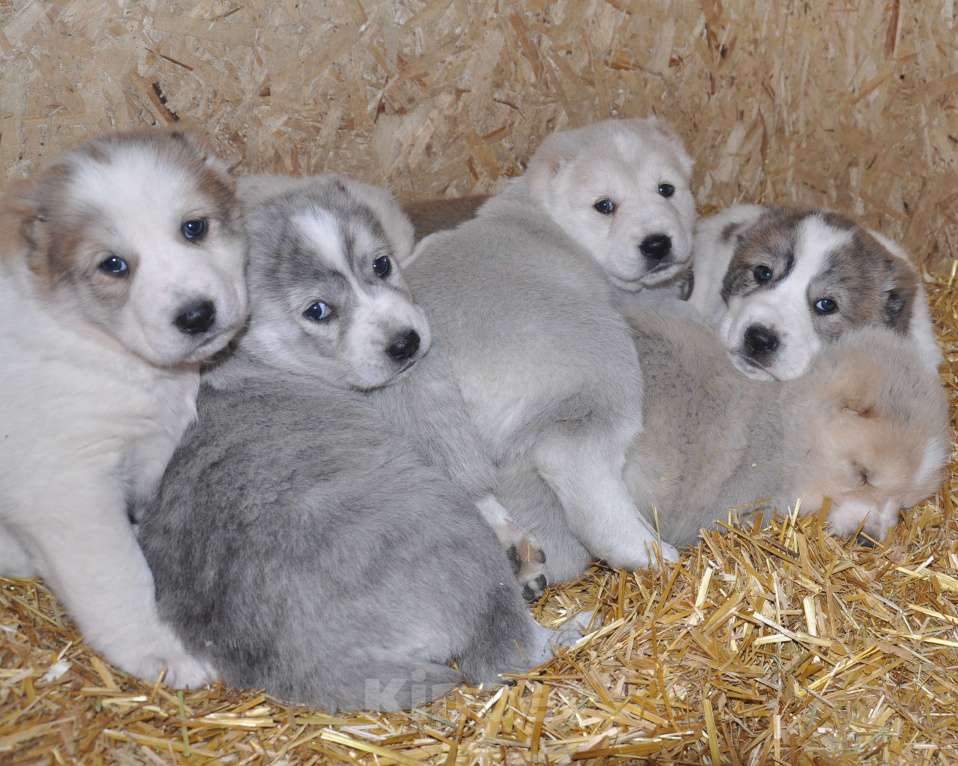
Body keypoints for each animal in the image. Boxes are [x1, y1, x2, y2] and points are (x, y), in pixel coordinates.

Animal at [0, 129, 251, 688]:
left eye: (194, 227)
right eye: (113, 265)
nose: (197, 316)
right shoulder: (67, 487)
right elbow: (116, 575)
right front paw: (157, 648)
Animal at [135, 176, 576, 712]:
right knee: (505, 652)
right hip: (457, 540)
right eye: (318, 310)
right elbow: (471, 482)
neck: (256, 355)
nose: (406, 343)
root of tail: (320, 662)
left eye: (382, 264)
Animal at [406, 118, 696, 584]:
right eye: (604, 206)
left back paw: (514, 549)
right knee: (580, 471)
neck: (546, 217)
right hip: (598, 363)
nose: (657, 243)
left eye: (666, 189)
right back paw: (650, 554)